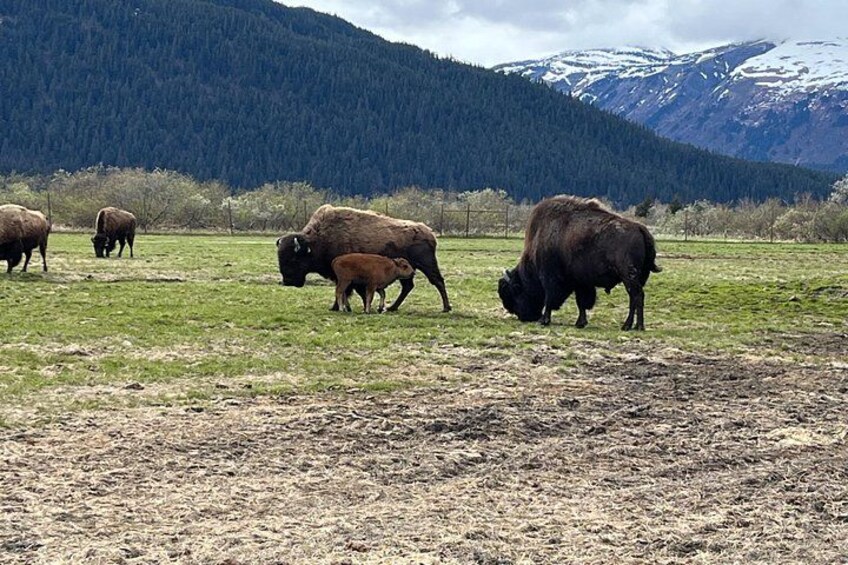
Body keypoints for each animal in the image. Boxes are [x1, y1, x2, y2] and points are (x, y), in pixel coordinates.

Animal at [276, 205, 451, 312]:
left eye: (293, 259)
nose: (288, 282)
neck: (317, 241)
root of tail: (429, 232)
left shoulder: (345, 276)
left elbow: (346, 291)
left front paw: (337, 307)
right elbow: (348, 291)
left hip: (426, 265)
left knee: (437, 281)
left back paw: (446, 307)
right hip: (408, 269)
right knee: (408, 286)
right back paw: (392, 307)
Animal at [499, 195, 661, 330]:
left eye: (514, 292)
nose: (524, 317)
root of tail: (640, 228)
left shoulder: (550, 279)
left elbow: (550, 298)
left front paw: (544, 320)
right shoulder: (580, 282)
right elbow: (581, 302)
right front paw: (580, 323)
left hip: (628, 276)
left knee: (636, 296)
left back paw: (631, 326)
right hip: (637, 277)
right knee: (635, 297)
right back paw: (634, 325)